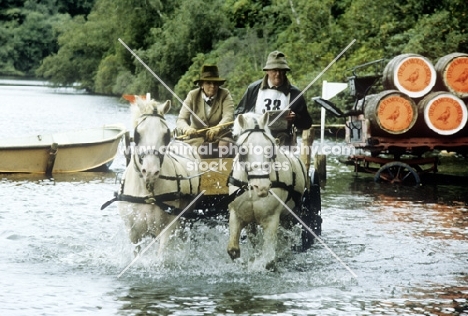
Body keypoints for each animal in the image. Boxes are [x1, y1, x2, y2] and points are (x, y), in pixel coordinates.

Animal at [118, 96, 200, 256]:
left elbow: (161, 256)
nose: (150, 171)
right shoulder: (133, 232)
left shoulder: (168, 228)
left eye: (166, 134)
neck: (147, 190)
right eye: (137, 134)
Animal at [226, 112, 308, 268]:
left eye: (270, 149)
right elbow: (233, 250)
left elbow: (269, 259)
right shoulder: (237, 214)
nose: (262, 187)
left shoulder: (271, 218)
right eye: (243, 150)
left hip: (291, 214)